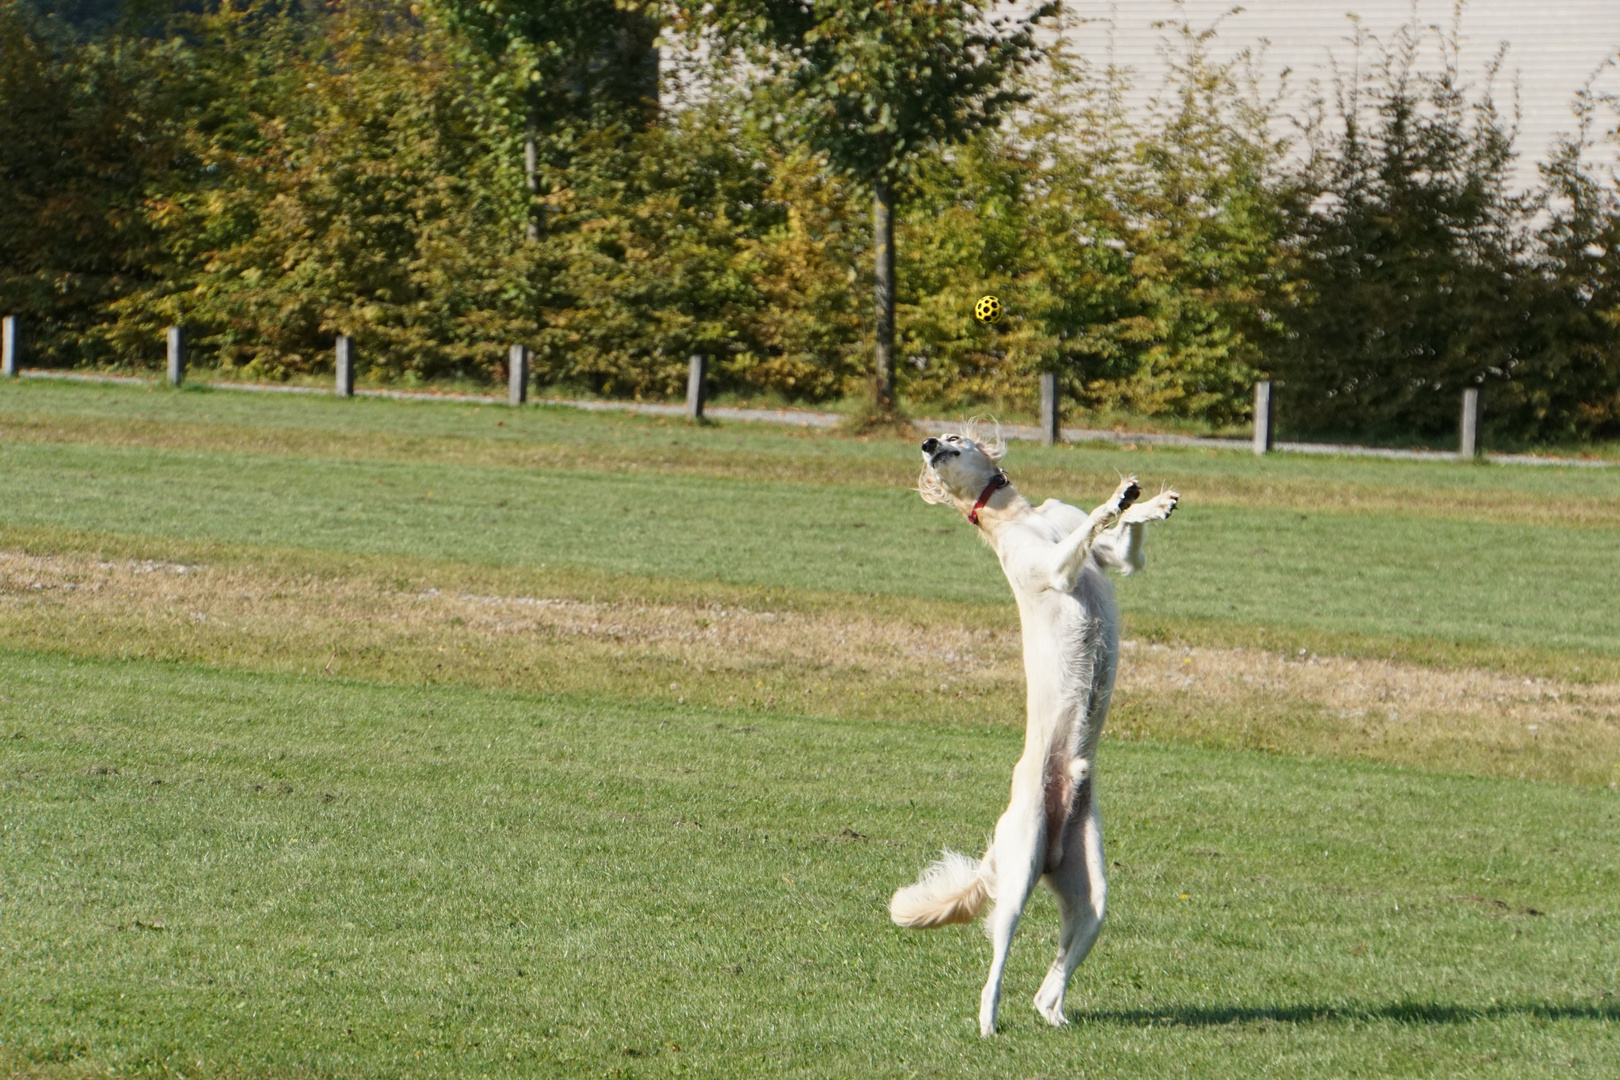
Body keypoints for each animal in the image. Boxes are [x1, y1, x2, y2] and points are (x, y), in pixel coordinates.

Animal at [894, 427, 1172, 1036]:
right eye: (935, 442)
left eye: (952, 435)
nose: (928, 442)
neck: (1021, 517)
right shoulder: (1050, 568)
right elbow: (1091, 529)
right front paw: (1116, 501)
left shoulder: (1104, 553)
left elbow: (1122, 546)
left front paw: (1145, 502)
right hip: (1020, 870)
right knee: (998, 953)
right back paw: (988, 1019)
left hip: (1089, 892)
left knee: (1059, 965)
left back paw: (1054, 1010)